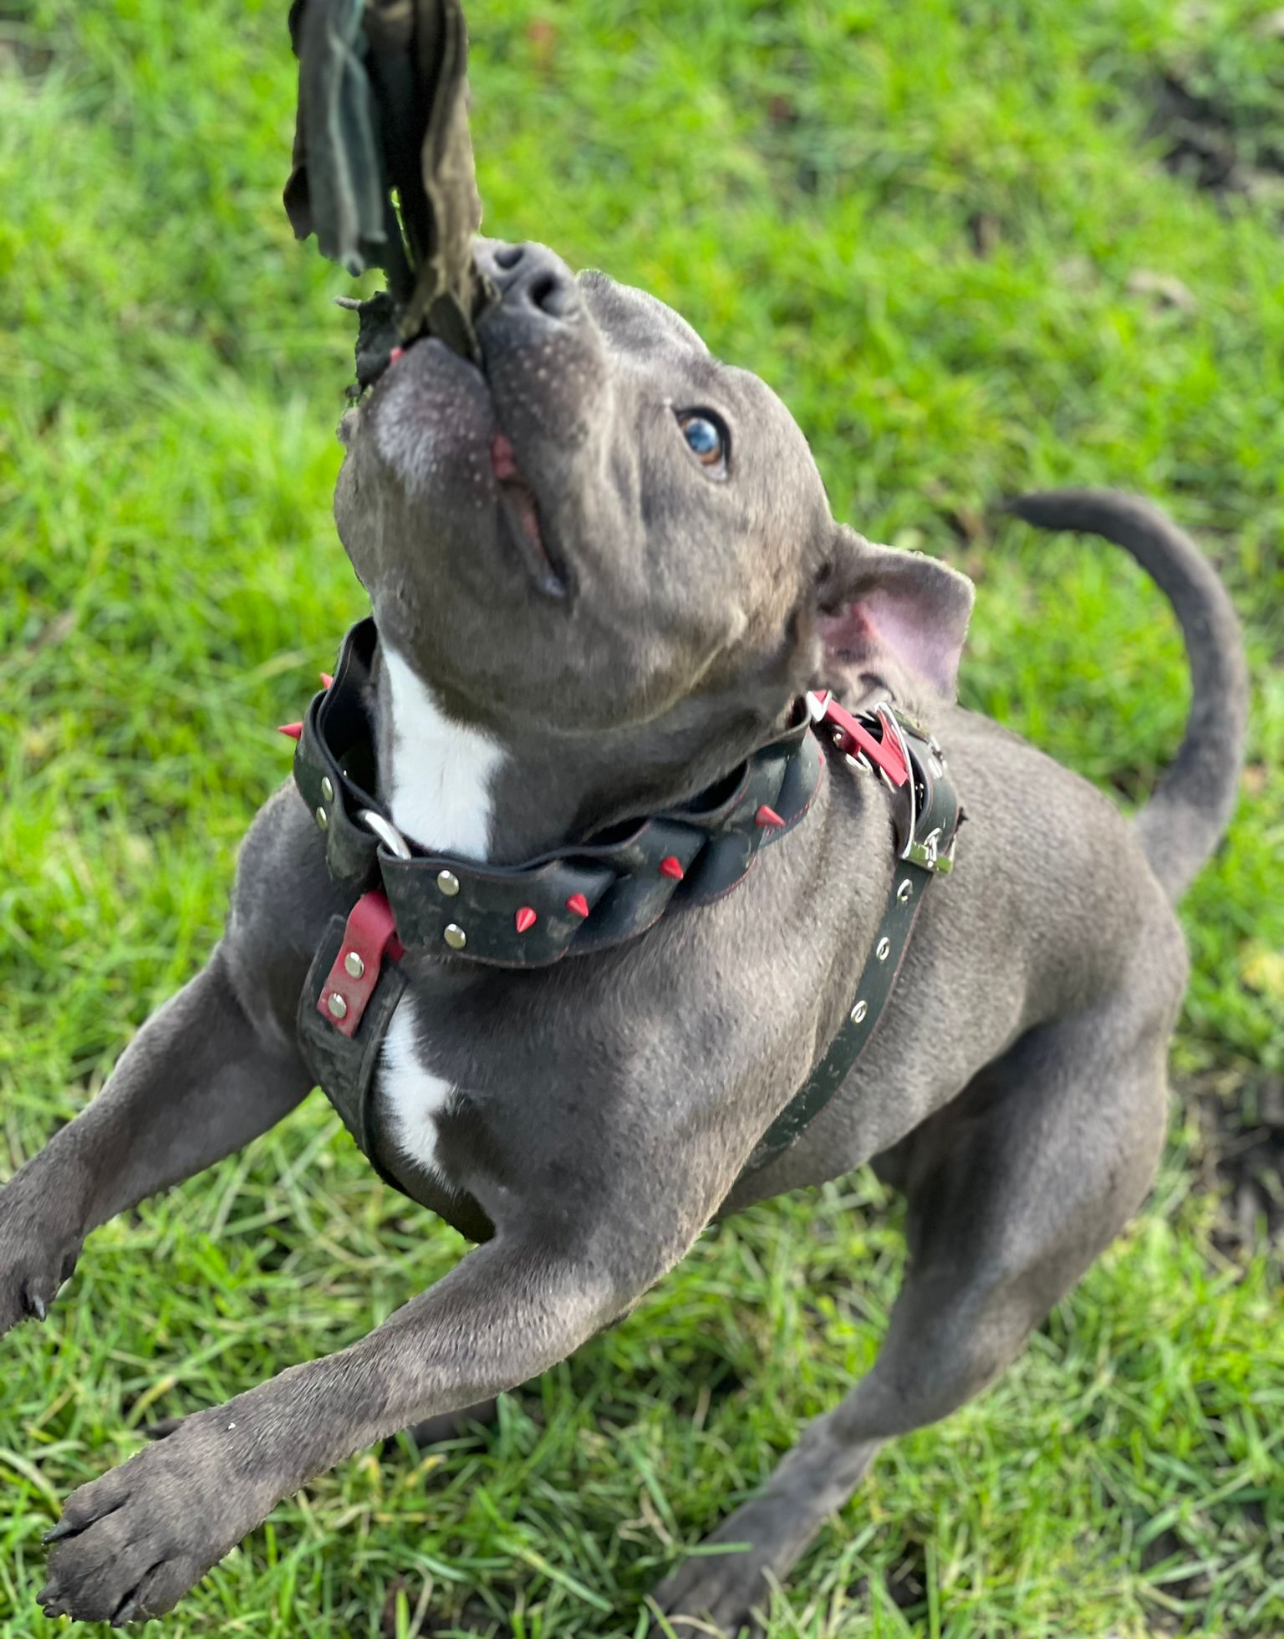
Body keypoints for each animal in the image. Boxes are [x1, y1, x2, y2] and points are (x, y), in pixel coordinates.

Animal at [2, 237, 1246, 1632]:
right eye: (589, 289)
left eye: (704, 437)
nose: (520, 267)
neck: (458, 870)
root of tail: (1144, 861)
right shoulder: (236, 1027)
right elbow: (91, 1148)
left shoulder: (574, 1261)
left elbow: (354, 1376)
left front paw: (176, 1503)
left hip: (988, 1281)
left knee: (861, 1423)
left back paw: (736, 1562)